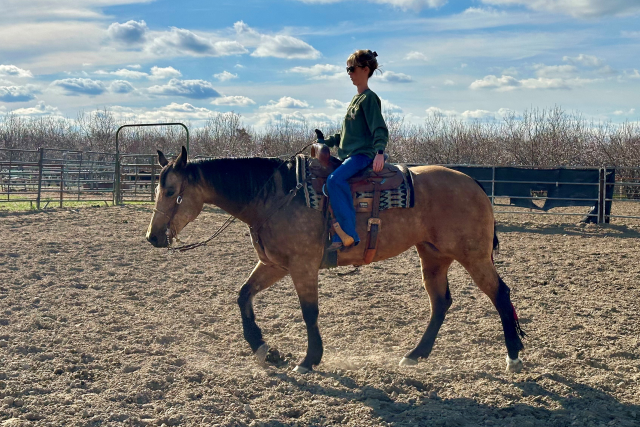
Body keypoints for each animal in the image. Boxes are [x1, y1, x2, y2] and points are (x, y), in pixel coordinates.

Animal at [145, 146, 526, 374]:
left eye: (170, 191)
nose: (152, 236)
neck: (276, 197)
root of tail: (473, 182)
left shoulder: (302, 266)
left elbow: (309, 312)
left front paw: (308, 360)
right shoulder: (274, 265)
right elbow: (243, 296)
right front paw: (264, 349)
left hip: (473, 255)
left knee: (500, 294)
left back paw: (513, 356)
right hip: (433, 255)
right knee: (441, 303)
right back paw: (416, 354)